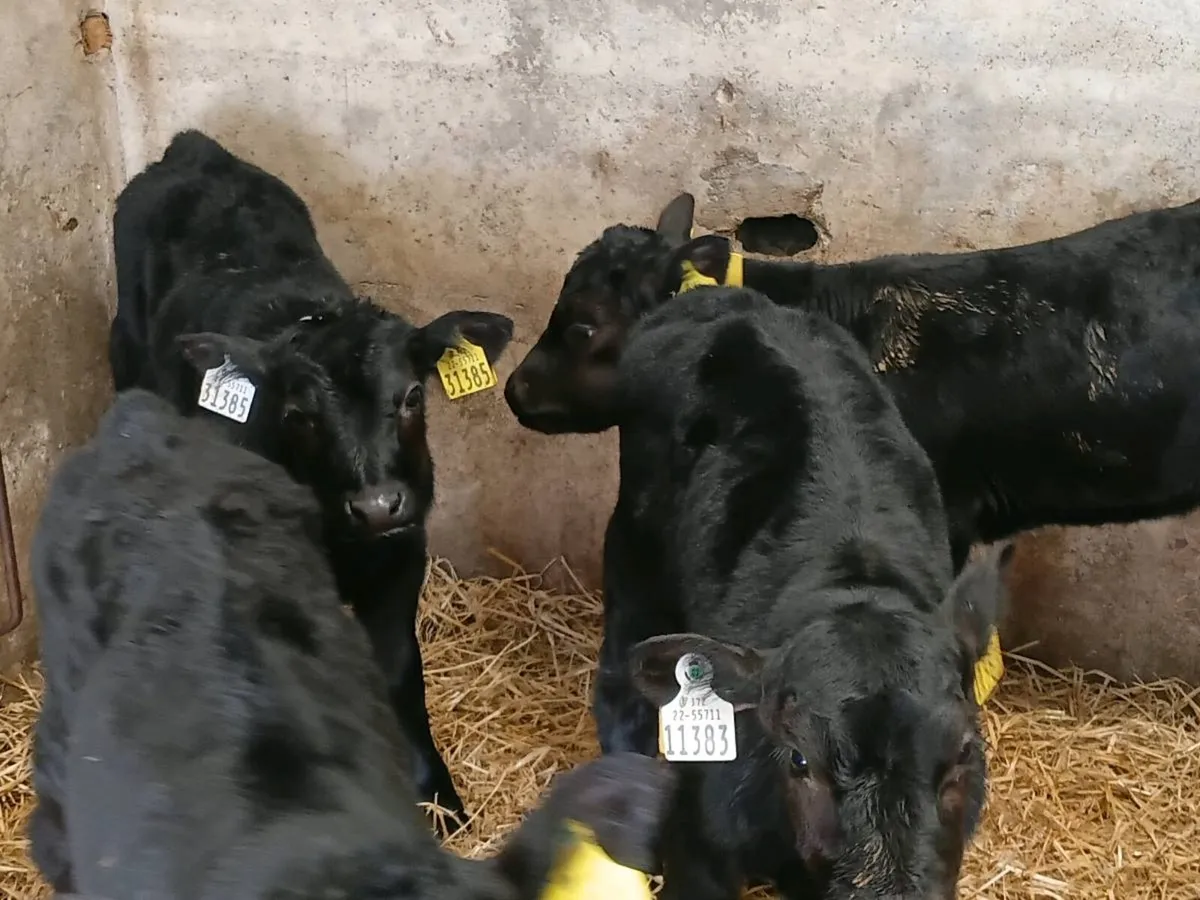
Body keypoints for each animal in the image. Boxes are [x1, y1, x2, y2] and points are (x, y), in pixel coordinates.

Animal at [108, 129, 516, 827]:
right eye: (298, 415)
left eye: (412, 396)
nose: (377, 505)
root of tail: (193, 149)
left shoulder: (402, 557)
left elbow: (399, 672)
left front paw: (437, 794)